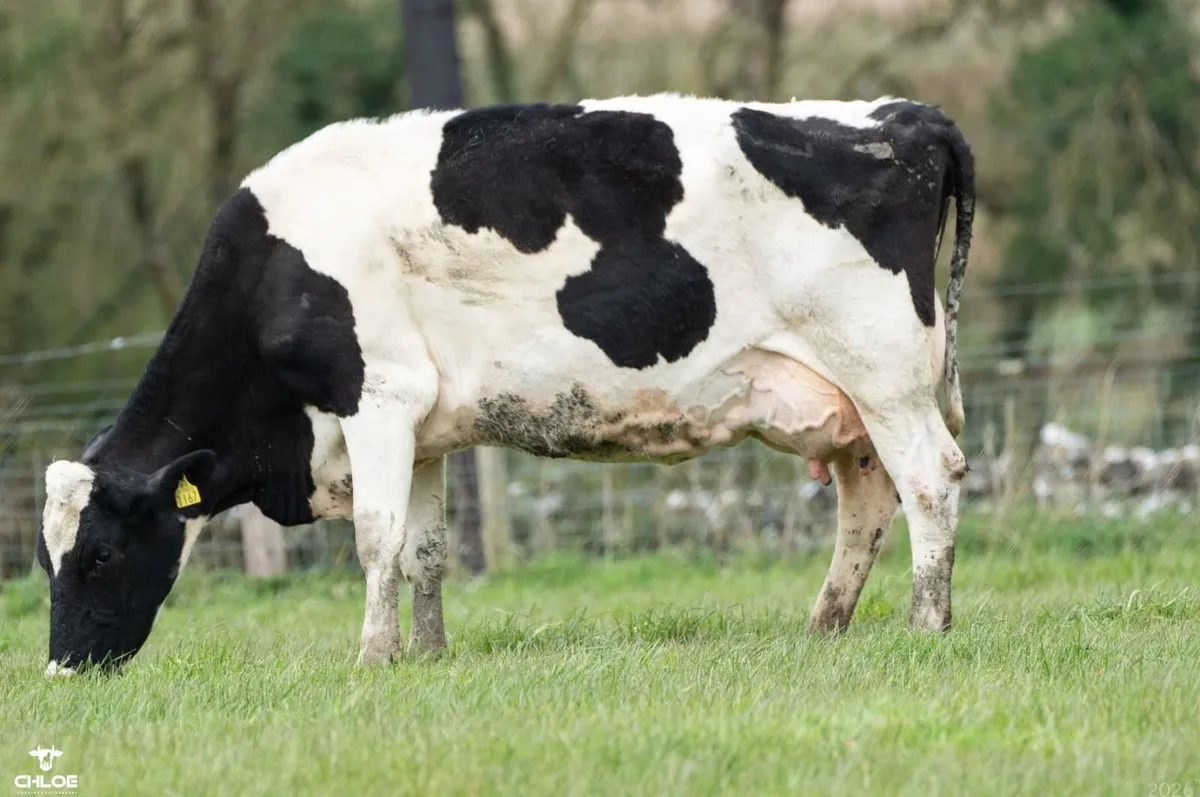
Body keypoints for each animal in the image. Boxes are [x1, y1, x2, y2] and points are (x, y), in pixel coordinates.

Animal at [37, 92, 974, 675]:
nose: (62, 667)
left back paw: (929, 623)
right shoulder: (422, 428)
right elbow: (425, 549)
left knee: (930, 479)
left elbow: (376, 540)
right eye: (45, 560)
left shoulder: (376, 399)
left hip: (884, 372)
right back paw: (825, 626)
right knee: (868, 496)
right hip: (848, 401)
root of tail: (904, 115)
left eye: (100, 552)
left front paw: (371, 657)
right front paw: (427, 653)